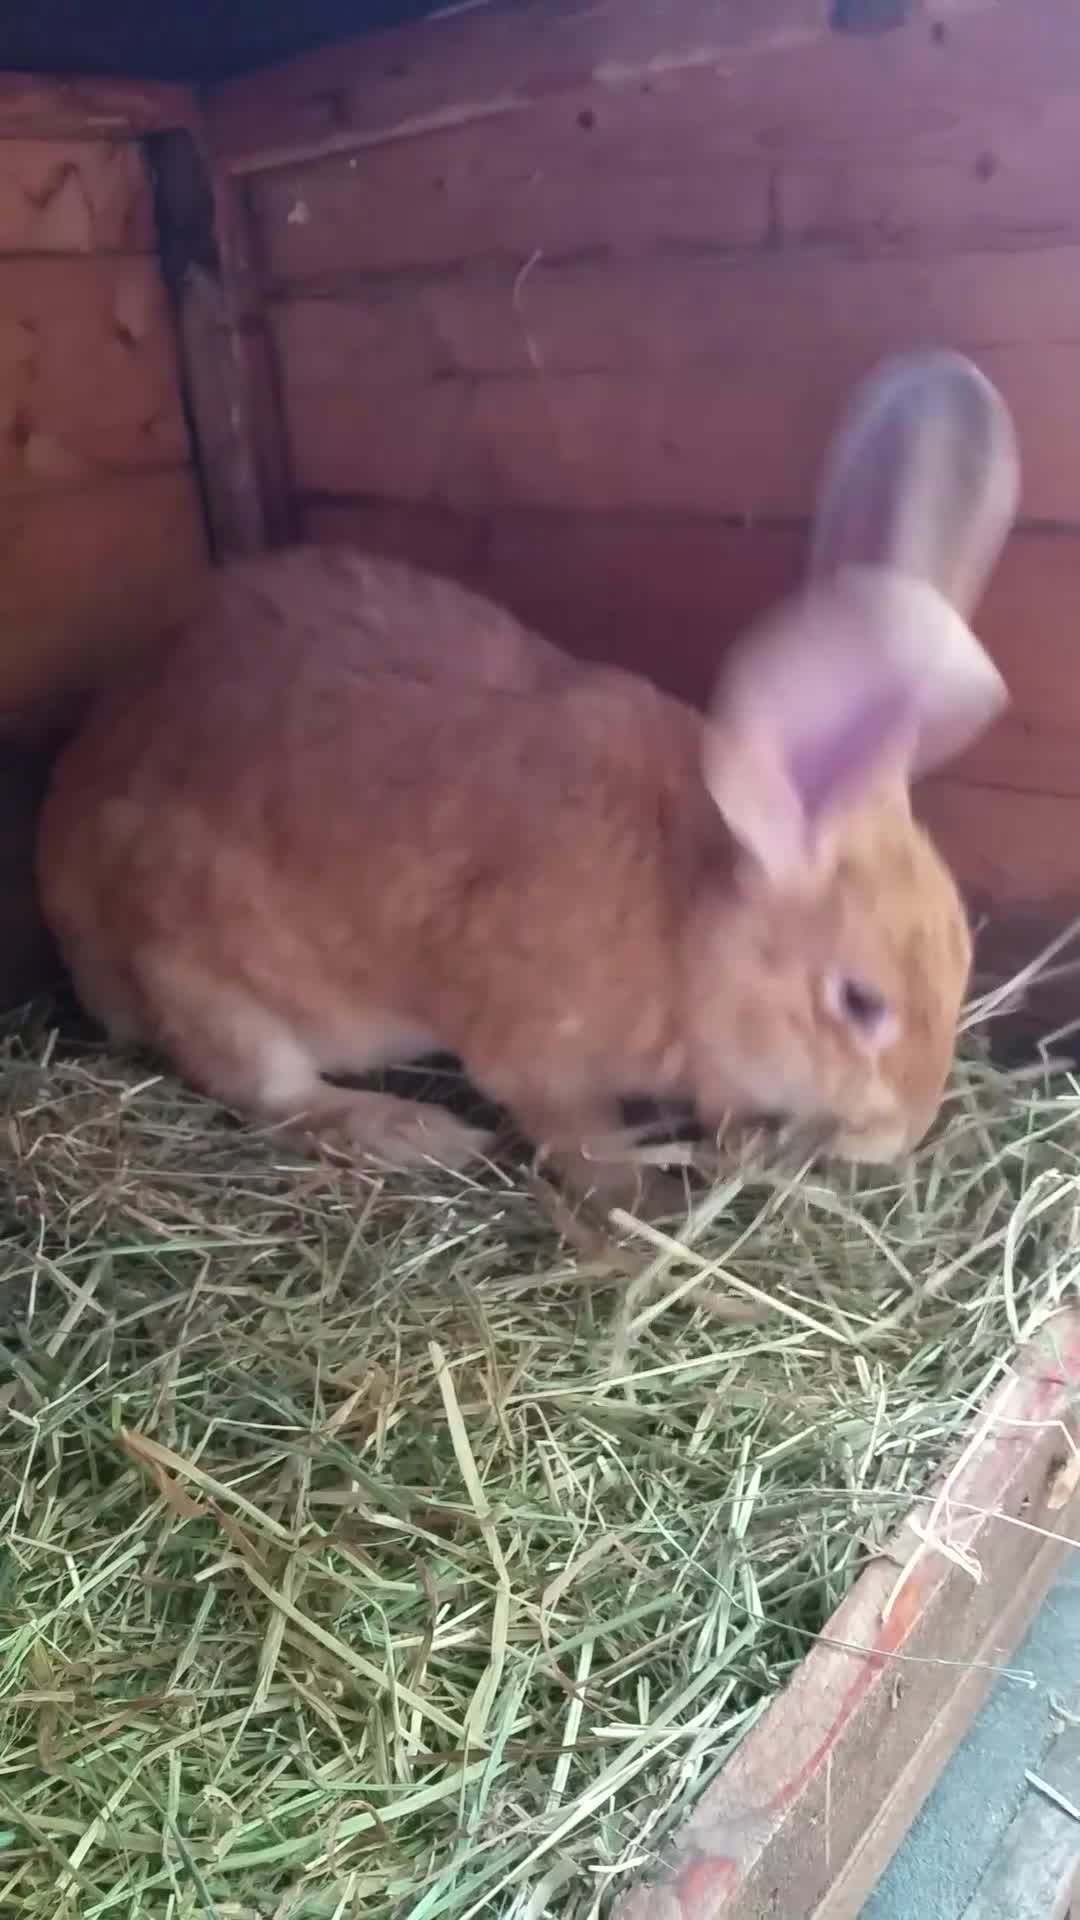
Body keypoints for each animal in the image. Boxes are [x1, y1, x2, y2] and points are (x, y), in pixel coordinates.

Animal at [37, 349, 1018, 1210]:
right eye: (859, 1002)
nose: (902, 1133)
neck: (686, 924)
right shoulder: (534, 1046)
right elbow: (572, 1131)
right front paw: (642, 1198)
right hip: (203, 980)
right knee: (270, 1094)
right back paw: (415, 1132)